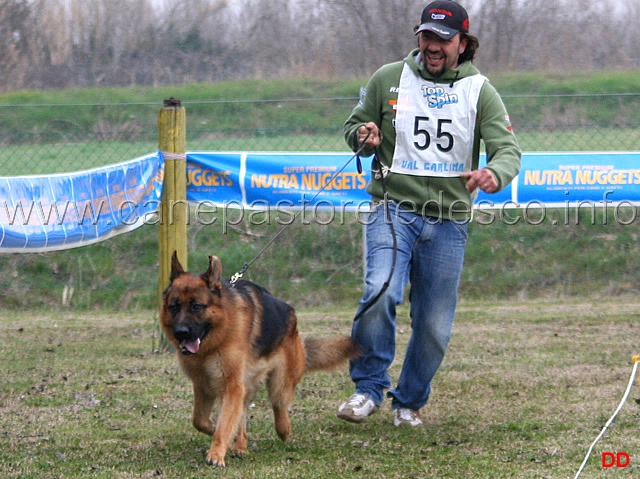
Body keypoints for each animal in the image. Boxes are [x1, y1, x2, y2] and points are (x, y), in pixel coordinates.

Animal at [161, 255, 360, 468]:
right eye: (174, 307)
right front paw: (221, 435)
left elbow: (224, 424)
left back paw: (283, 430)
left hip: (280, 382)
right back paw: (240, 444)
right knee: (242, 412)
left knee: (279, 405)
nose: (180, 333)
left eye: (196, 307)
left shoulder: (231, 385)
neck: (216, 339)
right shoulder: (204, 385)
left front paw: (216, 452)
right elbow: (200, 420)